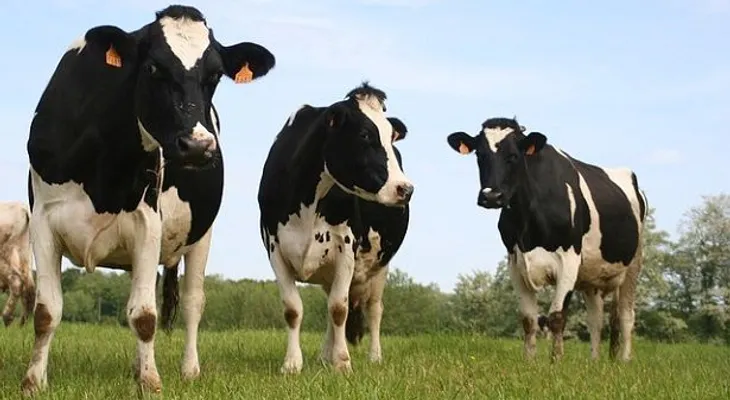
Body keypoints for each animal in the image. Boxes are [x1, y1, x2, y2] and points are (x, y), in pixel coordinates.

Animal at [21, 5, 275, 395]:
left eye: (216, 74)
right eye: (153, 67)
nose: (198, 146)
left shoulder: (147, 222)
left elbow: (144, 315)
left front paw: (151, 382)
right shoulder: (43, 222)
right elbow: (47, 311)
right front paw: (34, 381)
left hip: (202, 235)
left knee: (192, 302)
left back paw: (188, 370)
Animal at [258, 82, 414, 374]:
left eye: (391, 136)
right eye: (365, 134)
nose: (405, 189)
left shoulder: (346, 249)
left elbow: (339, 309)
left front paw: (342, 363)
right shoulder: (274, 248)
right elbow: (293, 309)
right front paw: (292, 364)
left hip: (380, 265)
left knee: (373, 309)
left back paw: (373, 356)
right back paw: (324, 355)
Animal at [446, 117, 647, 363]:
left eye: (514, 156)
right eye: (479, 155)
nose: (491, 196)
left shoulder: (569, 260)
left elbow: (557, 317)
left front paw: (556, 361)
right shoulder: (515, 263)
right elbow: (528, 319)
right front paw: (529, 360)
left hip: (634, 264)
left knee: (626, 315)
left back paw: (624, 360)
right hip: (592, 275)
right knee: (596, 319)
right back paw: (594, 361)